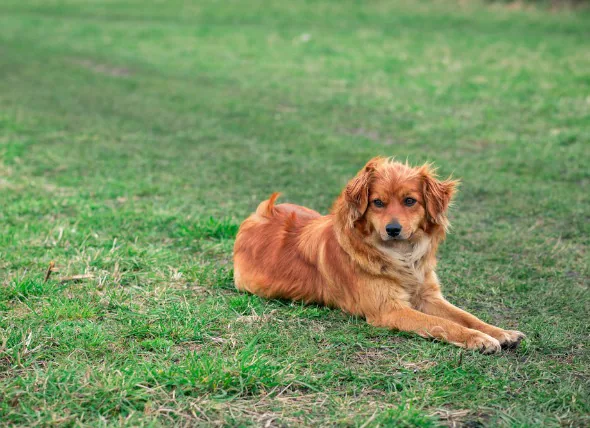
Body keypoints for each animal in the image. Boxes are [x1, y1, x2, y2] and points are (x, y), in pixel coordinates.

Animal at [234, 157, 524, 352]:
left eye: (410, 201)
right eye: (377, 202)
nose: (393, 229)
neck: (401, 256)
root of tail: (260, 213)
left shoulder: (427, 295)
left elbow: (466, 316)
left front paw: (500, 332)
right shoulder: (389, 310)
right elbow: (442, 324)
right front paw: (479, 339)